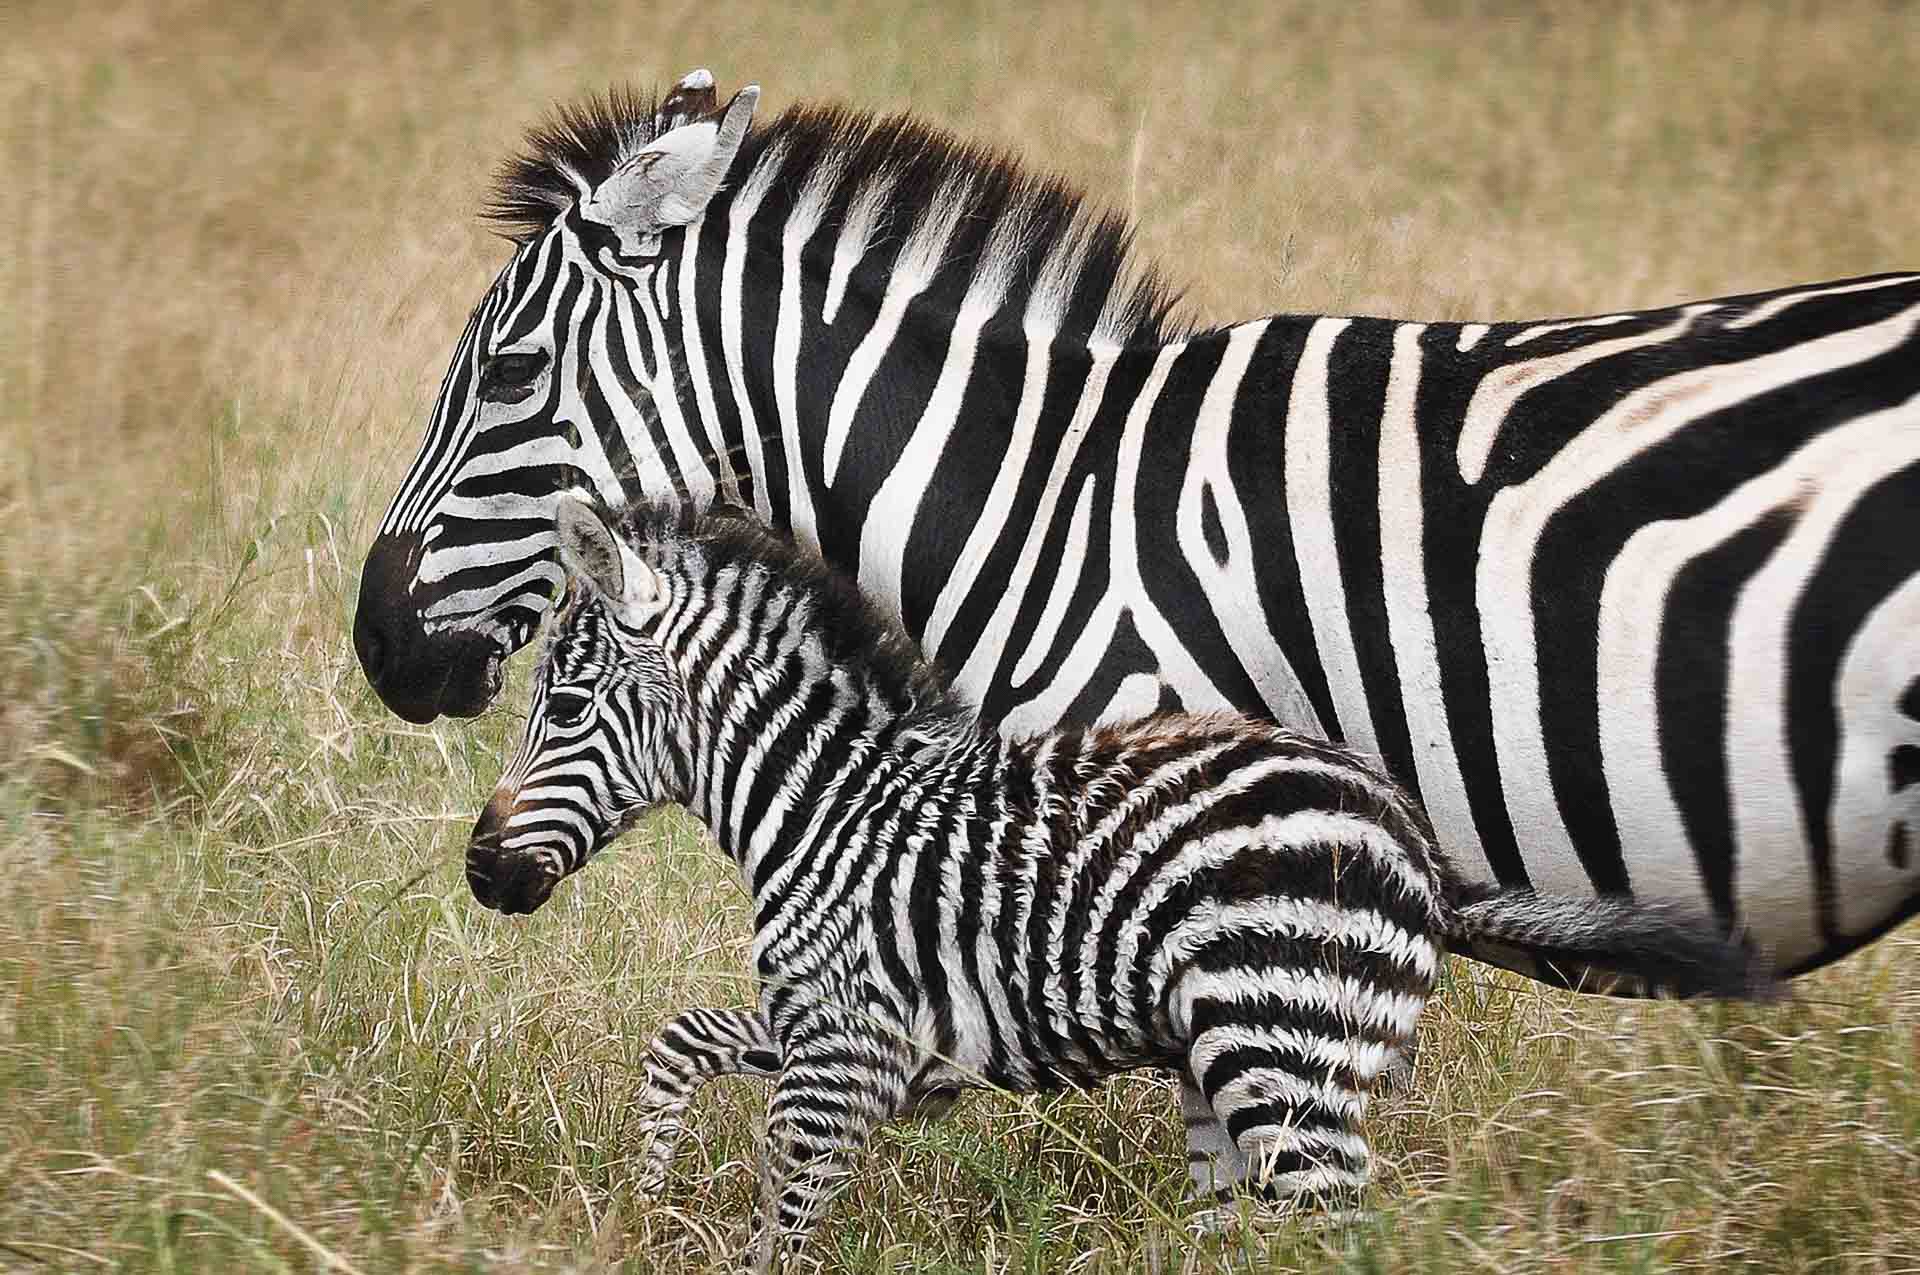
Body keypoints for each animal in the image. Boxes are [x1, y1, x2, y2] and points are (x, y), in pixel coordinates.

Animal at [464, 494, 1764, 1269]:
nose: (480, 874)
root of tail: (1416, 845)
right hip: (1239, 1072)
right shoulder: (866, 1042)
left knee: (1339, 1230)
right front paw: (648, 1189)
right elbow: (676, 1042)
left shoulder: (845, 1057)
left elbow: (783, 1222)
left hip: (1283, 1061)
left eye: (562, 707)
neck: (823, 806)